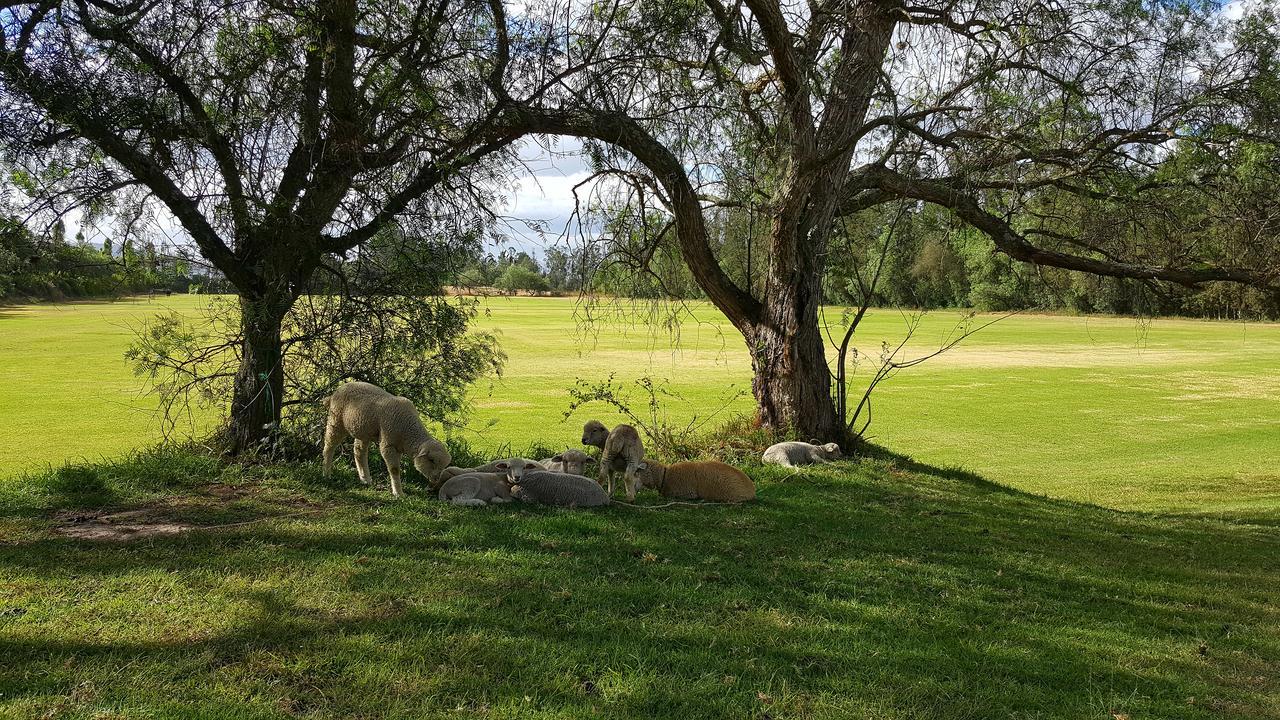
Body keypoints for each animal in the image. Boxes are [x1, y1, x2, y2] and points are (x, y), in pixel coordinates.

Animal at [320, 381, 450, 491]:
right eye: (431, 460)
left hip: (363, 429)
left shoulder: (397, 446)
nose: (436, 480)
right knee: (329, 446)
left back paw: (365, 479)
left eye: (445, 465)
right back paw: (326, 474)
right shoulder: (388, 444)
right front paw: (398, 493)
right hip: (336, 421)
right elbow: (394, 470)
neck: (408, 430)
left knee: (359, 452)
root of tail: (335, 392)